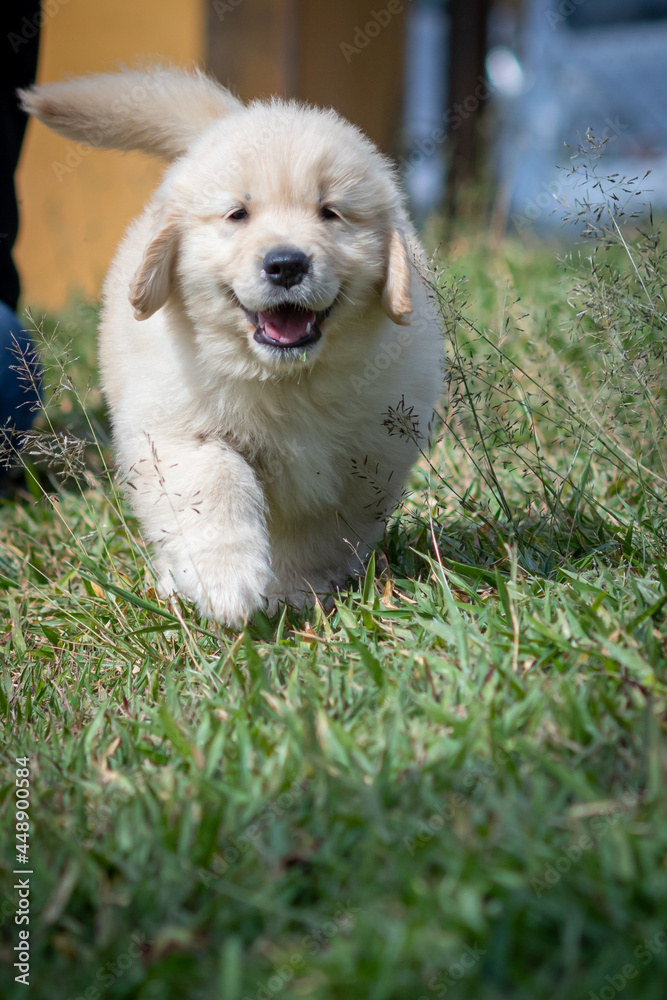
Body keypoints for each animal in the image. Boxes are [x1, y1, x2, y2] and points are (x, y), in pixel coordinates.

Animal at [22, 66, 444, 620]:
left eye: (330, 213)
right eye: (237, 214)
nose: (286, 264)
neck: (284, 381)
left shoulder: (366, 458)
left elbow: (317, 530)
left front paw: (294, 591)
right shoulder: (176, 431)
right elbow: (216, 483)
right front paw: (226, 582)